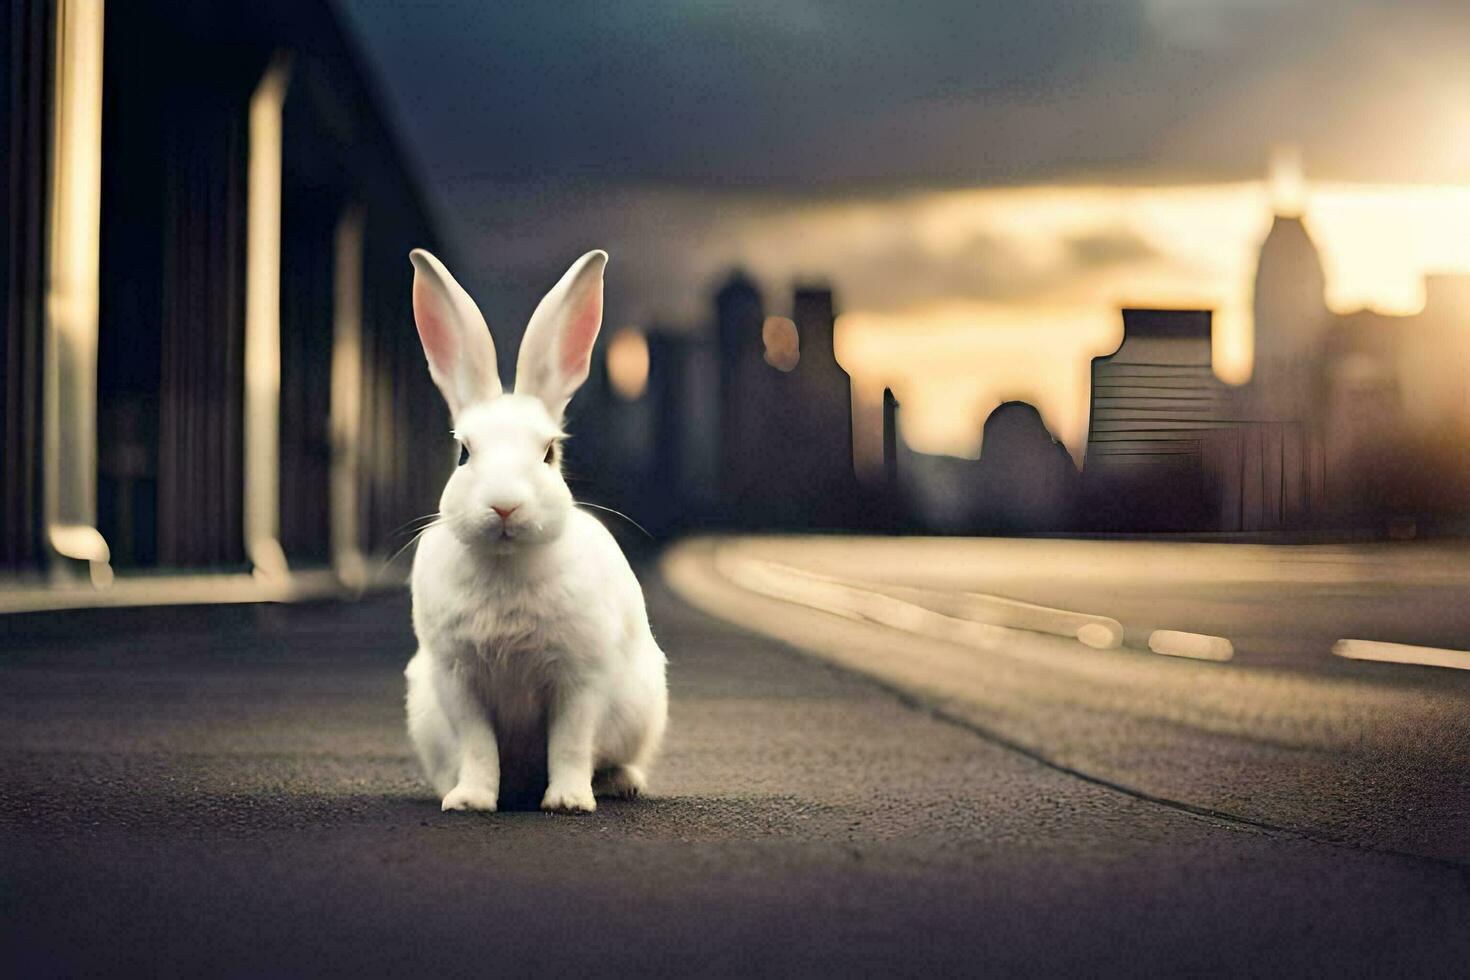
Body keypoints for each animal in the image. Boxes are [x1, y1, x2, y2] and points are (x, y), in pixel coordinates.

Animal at [402, 246, 667, 811]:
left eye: (548, 453)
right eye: (464, 453)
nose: (504, 506)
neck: (507, 563)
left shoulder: (578, 680)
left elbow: (569, 743)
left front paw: (567, 802)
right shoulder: (458, 681)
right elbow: (479, 747)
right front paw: (471, 801)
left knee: (611, 757)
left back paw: (621, 784)